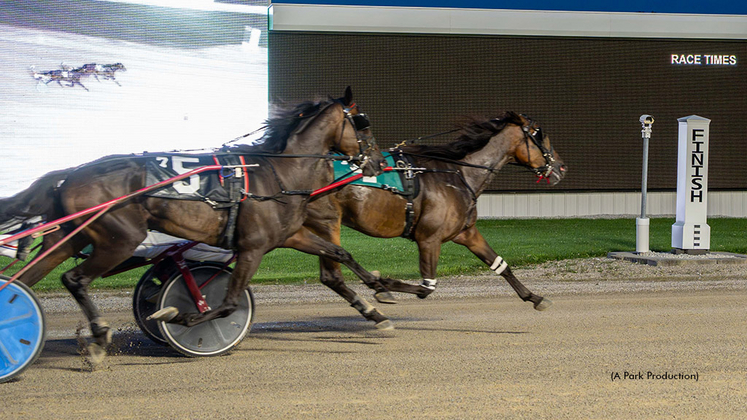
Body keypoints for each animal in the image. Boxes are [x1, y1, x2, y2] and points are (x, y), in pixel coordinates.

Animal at [0, 87, 390, 362]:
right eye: (363, 122)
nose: (375, 160)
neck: (278, 174)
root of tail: (70, 175)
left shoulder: (288, 236)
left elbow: (339, 252)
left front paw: (382, 294)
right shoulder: (252, 247)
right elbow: (228, 303)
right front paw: (180, 317)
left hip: (73, 235)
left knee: (28, 280)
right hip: (119, 238)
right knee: (74, 278)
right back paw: (98, 334)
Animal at [302, 111, 566, 321]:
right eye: (539, 134)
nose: (561, 167)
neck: (457, 174)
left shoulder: (467, 233)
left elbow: (501, 265)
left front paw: (534, 297)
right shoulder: (429, 238)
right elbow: (426, 288)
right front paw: (383, 283)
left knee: (330, 275)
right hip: (327, 223)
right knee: (333, 273)